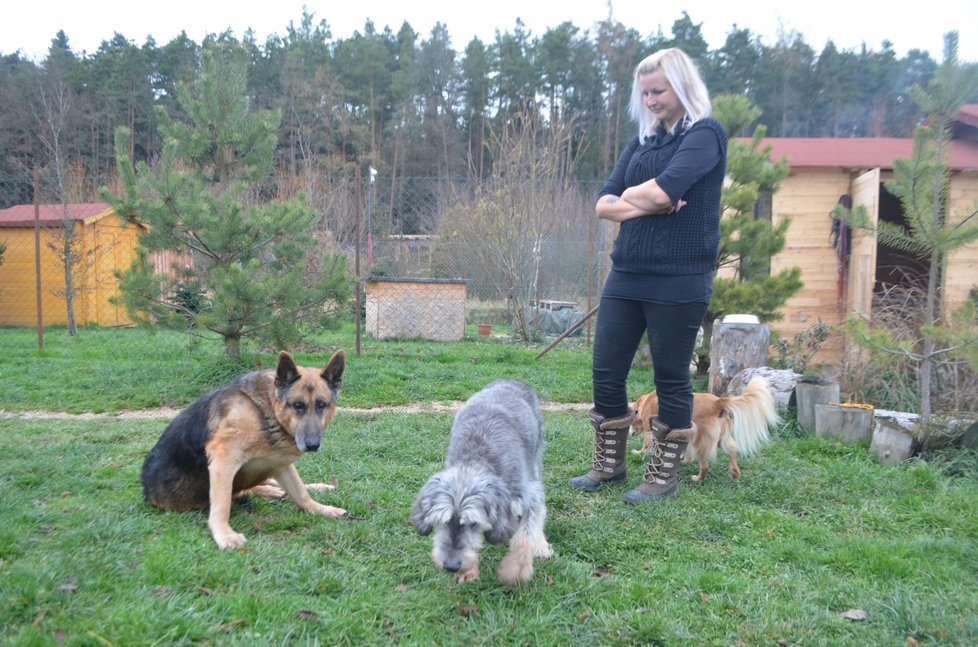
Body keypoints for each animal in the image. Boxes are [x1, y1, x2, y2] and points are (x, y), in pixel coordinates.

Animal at [140, 352, 346, 548]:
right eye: (298, 405)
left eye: (321, 405)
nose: (312, 445)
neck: (265, 411)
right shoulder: (223, 462)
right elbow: (222, 504)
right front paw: (224, 534)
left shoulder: (280, 462)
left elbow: (301, 492)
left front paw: (320, 508)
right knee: (242, 491)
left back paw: (313, 487)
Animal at [632, 378, 776, 484]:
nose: (631, 433)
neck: (644, 403)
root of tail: (718, 403)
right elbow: (685, 450)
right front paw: (684, 460)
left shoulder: (650, 430)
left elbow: (646, 445)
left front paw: (638, 452)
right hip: (721, 438)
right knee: (732, 451)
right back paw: (734, 472)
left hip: (701, 441)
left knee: (705, 466)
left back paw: (697, 479)